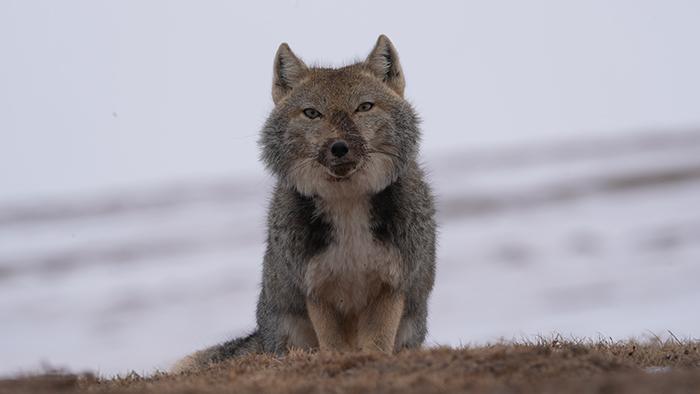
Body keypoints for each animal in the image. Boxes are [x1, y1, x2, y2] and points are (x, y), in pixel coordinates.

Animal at [173, 33, 434, 372]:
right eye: (312, 113)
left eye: (364, 107)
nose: (339, 147)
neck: (347, 209)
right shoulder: (317, 292)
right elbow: (334, 348)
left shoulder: (390, 287)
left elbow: (377, 346)